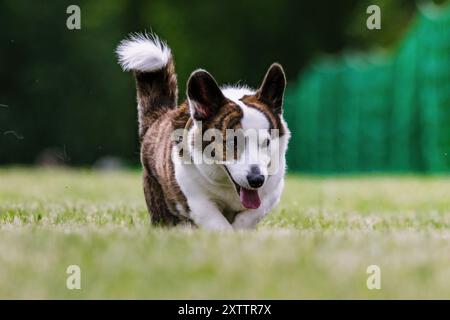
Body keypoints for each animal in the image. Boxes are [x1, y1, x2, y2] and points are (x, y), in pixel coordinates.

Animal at [116, 33, 290, 230]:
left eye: (267, 142)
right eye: (232, 141)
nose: (256, 180)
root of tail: (159, 117)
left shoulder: (272, 191)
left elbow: (252, 214)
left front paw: (240, 228)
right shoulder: (197, 202)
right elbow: (219, 224)